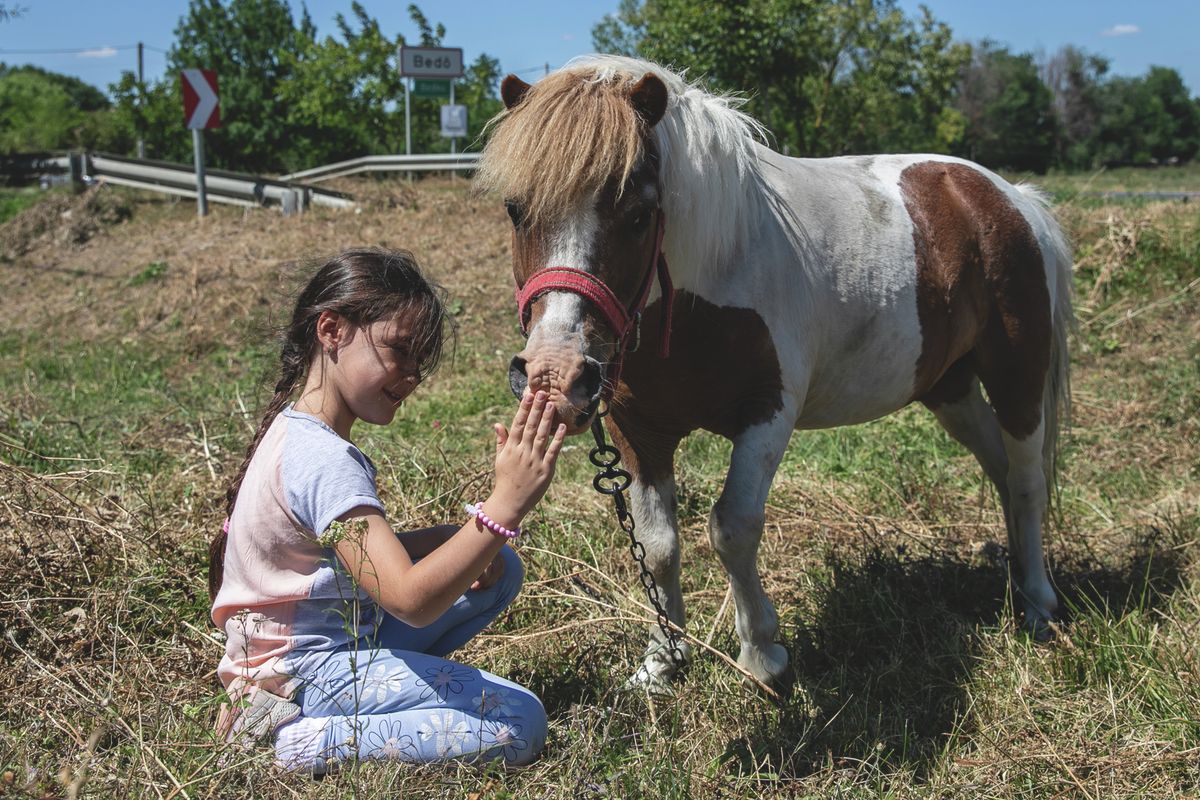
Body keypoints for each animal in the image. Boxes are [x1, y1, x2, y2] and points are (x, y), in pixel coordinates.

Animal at [472, 54, 1075, 690]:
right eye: (516, 210)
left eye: (638, 215)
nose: (554, 375)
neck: (713, 276)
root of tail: (1008, 197)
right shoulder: (639, 430)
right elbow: (658, 543)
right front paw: (665, 659)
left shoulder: (767, 414)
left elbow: (732, 527)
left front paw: (763, 653)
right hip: (949, 387)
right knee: (1001, 470)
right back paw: (1015, 580)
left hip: (1017, 373)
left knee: (1026, 479)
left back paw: (1038, 603)